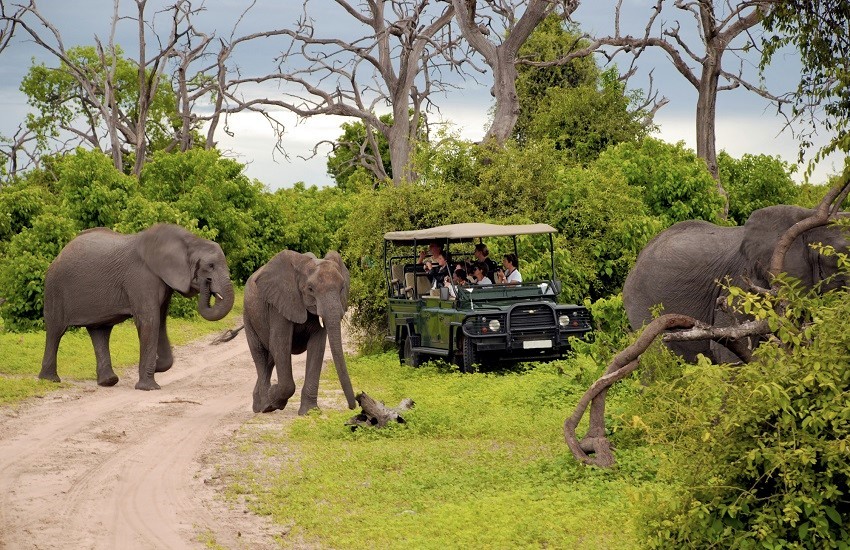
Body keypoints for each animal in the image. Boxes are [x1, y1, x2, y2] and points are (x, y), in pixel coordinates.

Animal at [38, 223, 234, 388]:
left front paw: (156, 367)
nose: (207, 283)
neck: (189, 240)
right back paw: (50, 380)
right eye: (210, 266)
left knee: (100, 331)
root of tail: (59, 254)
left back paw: (108, 382)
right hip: (55, 288)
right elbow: (149, 321)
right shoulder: (141, 277)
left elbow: (160, 321)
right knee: (56, 330)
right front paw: (149, 387)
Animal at [242, 249, 358, 414]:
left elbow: (317, 347)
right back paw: (265, 406)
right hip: (248, 316)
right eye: (310, 289)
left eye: (342, 287)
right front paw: (274, 398)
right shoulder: (279, 304)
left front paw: (309, 412)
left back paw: (259, 405)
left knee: (270, 359)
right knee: (260, 356)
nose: (352, 406)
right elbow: (280, 343)